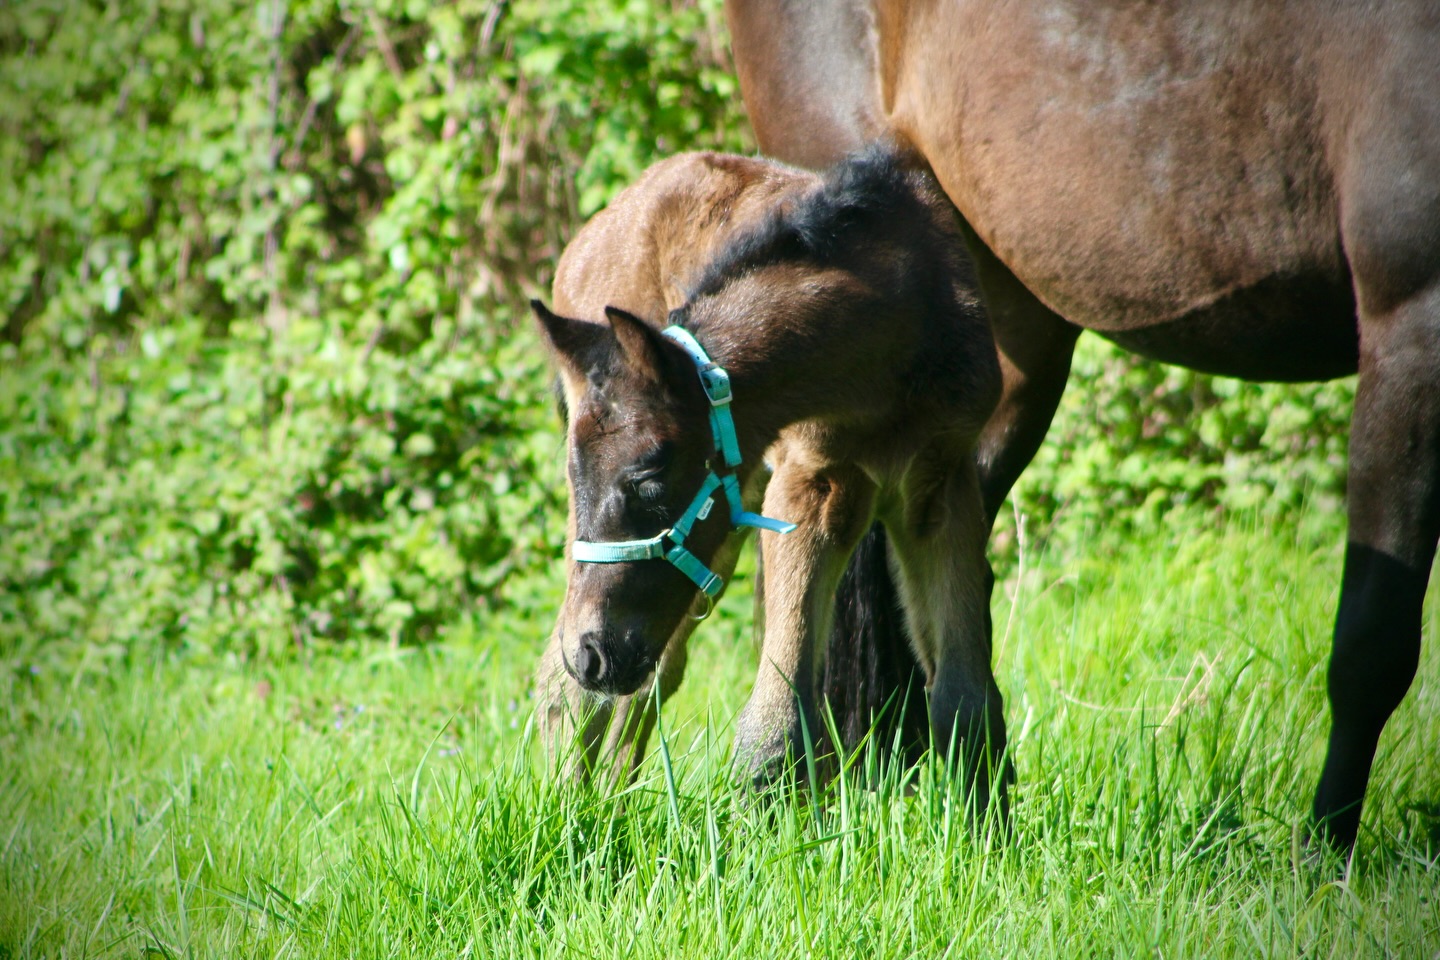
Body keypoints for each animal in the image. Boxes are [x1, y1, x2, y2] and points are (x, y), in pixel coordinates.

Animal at [532, 144, 1005, 795]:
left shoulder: (943, 487)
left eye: (648, 480)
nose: (593, 654)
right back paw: (570, 807)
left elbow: (966, 701)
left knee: (646, 673)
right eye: (579, 481)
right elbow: (776, 719)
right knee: (568, 680)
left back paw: (608, 801)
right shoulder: (810, 484)